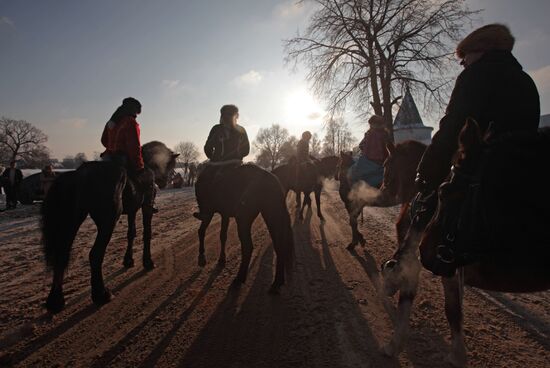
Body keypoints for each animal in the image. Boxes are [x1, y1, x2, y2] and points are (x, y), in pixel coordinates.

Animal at [42, 141, 179, 314]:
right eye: (171, 165)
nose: (164, 182)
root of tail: (80, 174)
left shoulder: (132, 210)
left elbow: (131, 233)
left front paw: (128, 260)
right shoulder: (146, 207)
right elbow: (147, 233)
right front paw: (148, 262)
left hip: (72, 222)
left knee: (61, 254)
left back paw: (56, 301)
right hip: (108, 221)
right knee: (95, 254)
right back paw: (101, 294)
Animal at [196, 164, 296, 294]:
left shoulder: (210, 211)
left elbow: (202, 231)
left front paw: (202, 257)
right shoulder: (224, 213)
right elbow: (223, 235)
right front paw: (221, 259)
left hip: (244, 218)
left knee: (248, 246)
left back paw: (239, 278)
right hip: (271, 213)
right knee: (279, 246)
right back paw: (276, 283)